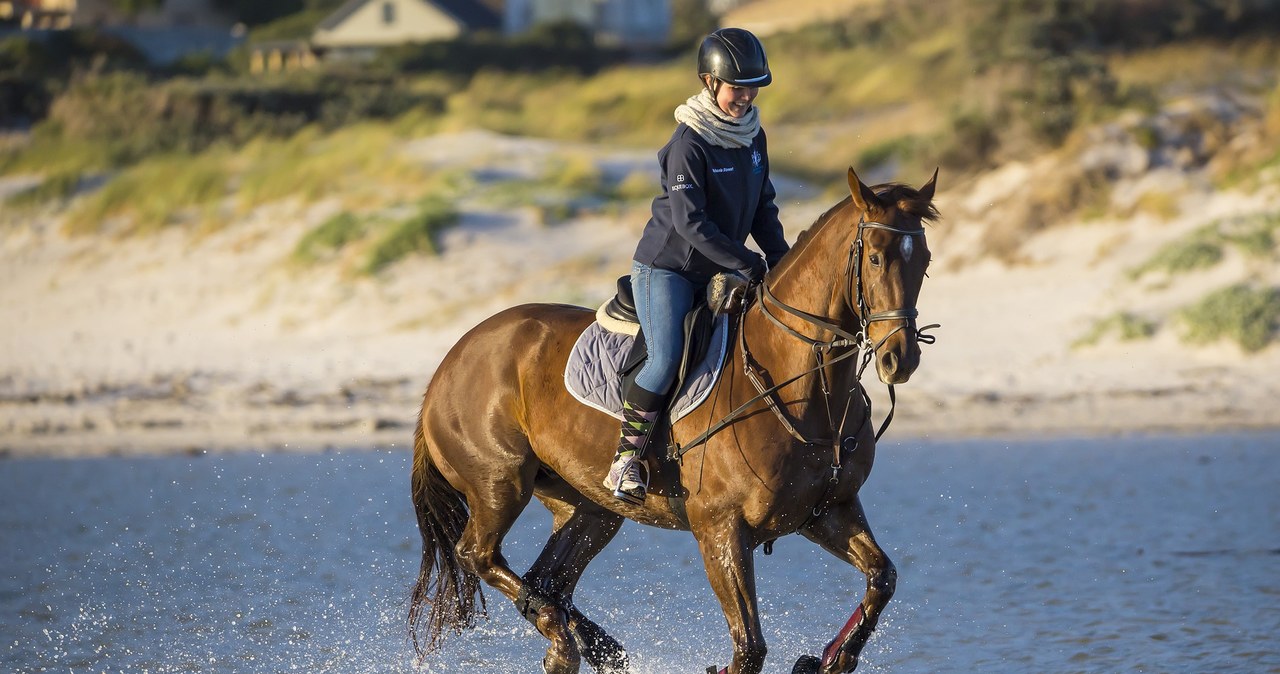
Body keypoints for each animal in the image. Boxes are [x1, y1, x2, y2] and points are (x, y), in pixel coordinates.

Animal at [409, 167, 942, 674]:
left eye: (925, 260)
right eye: (876, 259)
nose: (900, 358)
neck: (802, 389)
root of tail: (448, 362)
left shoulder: (828, 511)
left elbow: (882, 578)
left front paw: (832, 658)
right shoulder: (720, 530)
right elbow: (749, 648)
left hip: (590, 507)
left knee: (549, 580)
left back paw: (588, 647)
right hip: (499, 483)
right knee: (478, 554)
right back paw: (562, 638)